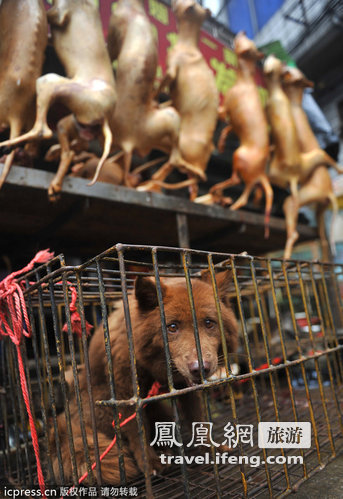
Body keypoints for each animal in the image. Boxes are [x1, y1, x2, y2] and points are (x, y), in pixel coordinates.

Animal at [51, 272, 239, 486]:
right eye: (172, 327)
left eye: (209, 323)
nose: (200, 369)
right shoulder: (127, 394)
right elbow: (137, 432)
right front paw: (149, 463)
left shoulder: (186, 389)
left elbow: (197, 420)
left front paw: (210, 449)